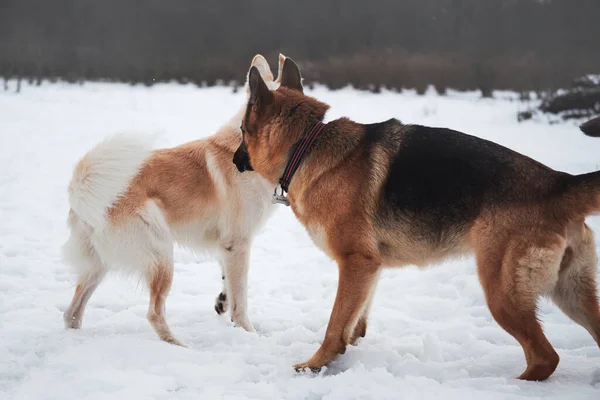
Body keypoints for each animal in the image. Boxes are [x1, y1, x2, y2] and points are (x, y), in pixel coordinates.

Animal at [63, 54, 286, 346]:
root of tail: (83, 196)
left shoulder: (226, 247)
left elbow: (227, 284)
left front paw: (222, 303)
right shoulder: (238, 244)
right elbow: (241, 301)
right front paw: (249, 335)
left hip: (100, 266)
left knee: (72, 313)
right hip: (162, 256)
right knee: (153, 313)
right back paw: (181, 347)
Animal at [233, 57, 600, 380]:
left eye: (241, 131)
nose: (235, 161)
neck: (305, 146)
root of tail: (559, 183)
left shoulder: (355, 261)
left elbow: (335, 325)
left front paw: (317, 364)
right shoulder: (369, 267)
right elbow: (356, 320)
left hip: (502, 294)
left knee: (545, 357)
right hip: (569, 293)